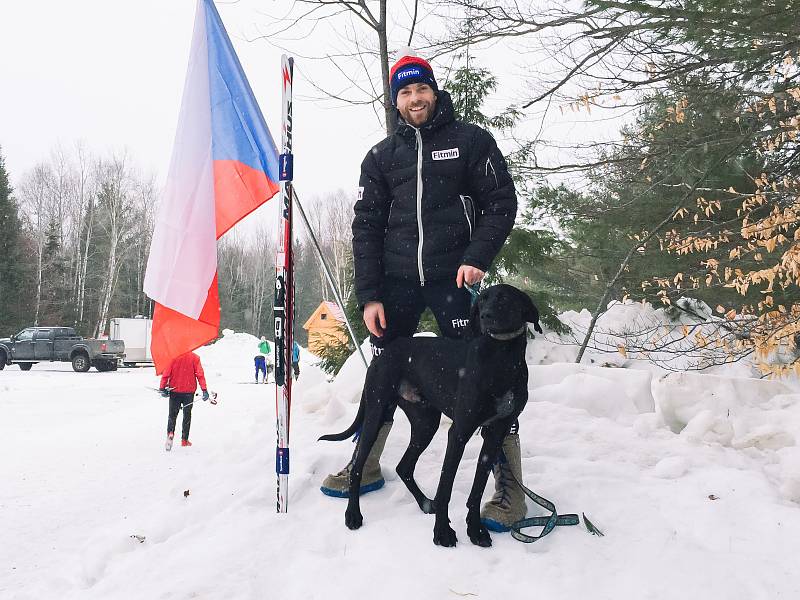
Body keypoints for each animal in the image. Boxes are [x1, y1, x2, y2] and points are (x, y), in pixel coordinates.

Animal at [320, 286, 544, 548]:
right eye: (481, 302)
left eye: (504, 298)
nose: (484, 316)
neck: (501, 358)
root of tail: (384, 353)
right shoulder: (459, 432)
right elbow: (445, 487)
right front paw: (442, 532)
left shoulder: (496, 433)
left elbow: (477, 488)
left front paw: (475, 529)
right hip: (377, 414)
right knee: (358, 465)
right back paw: (353, 514)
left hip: (425, 423)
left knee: (404, 466)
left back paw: (426, 503)